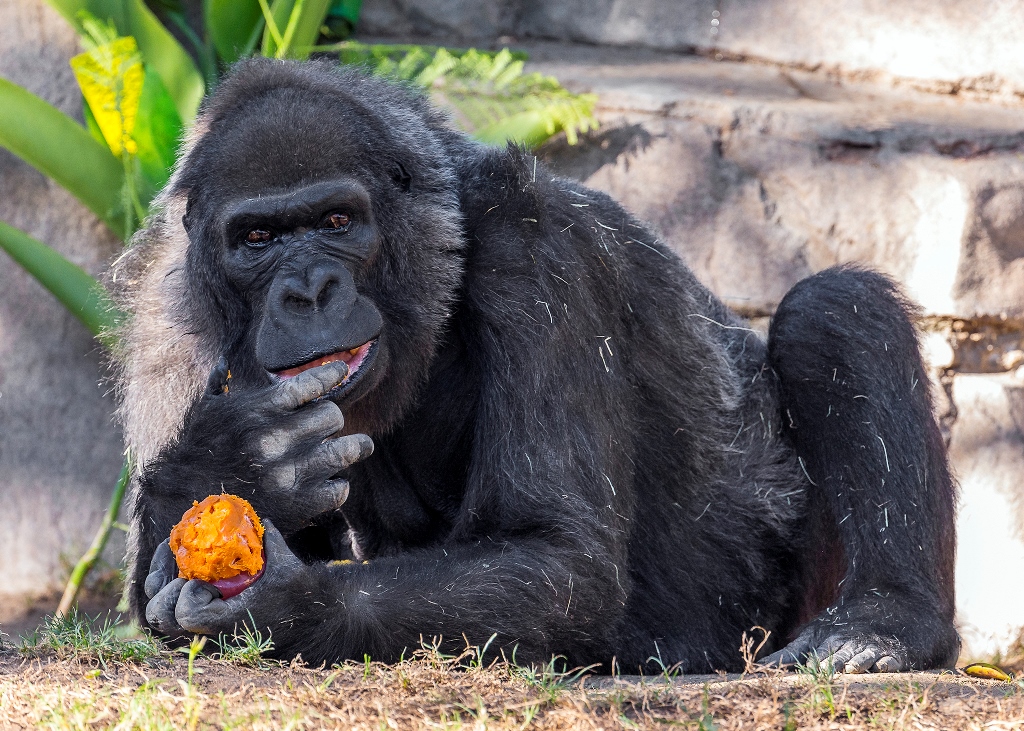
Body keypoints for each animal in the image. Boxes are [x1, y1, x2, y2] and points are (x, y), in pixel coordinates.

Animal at [112, 58, 958, 671]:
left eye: (337, 220)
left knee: (833, 311)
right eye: (257, 239)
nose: (309, 289)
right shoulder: (165, 314)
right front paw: (240, 462)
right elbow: (149, 587)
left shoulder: (541, 245)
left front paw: (296, 603)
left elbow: (558, 558)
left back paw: (886, 623)